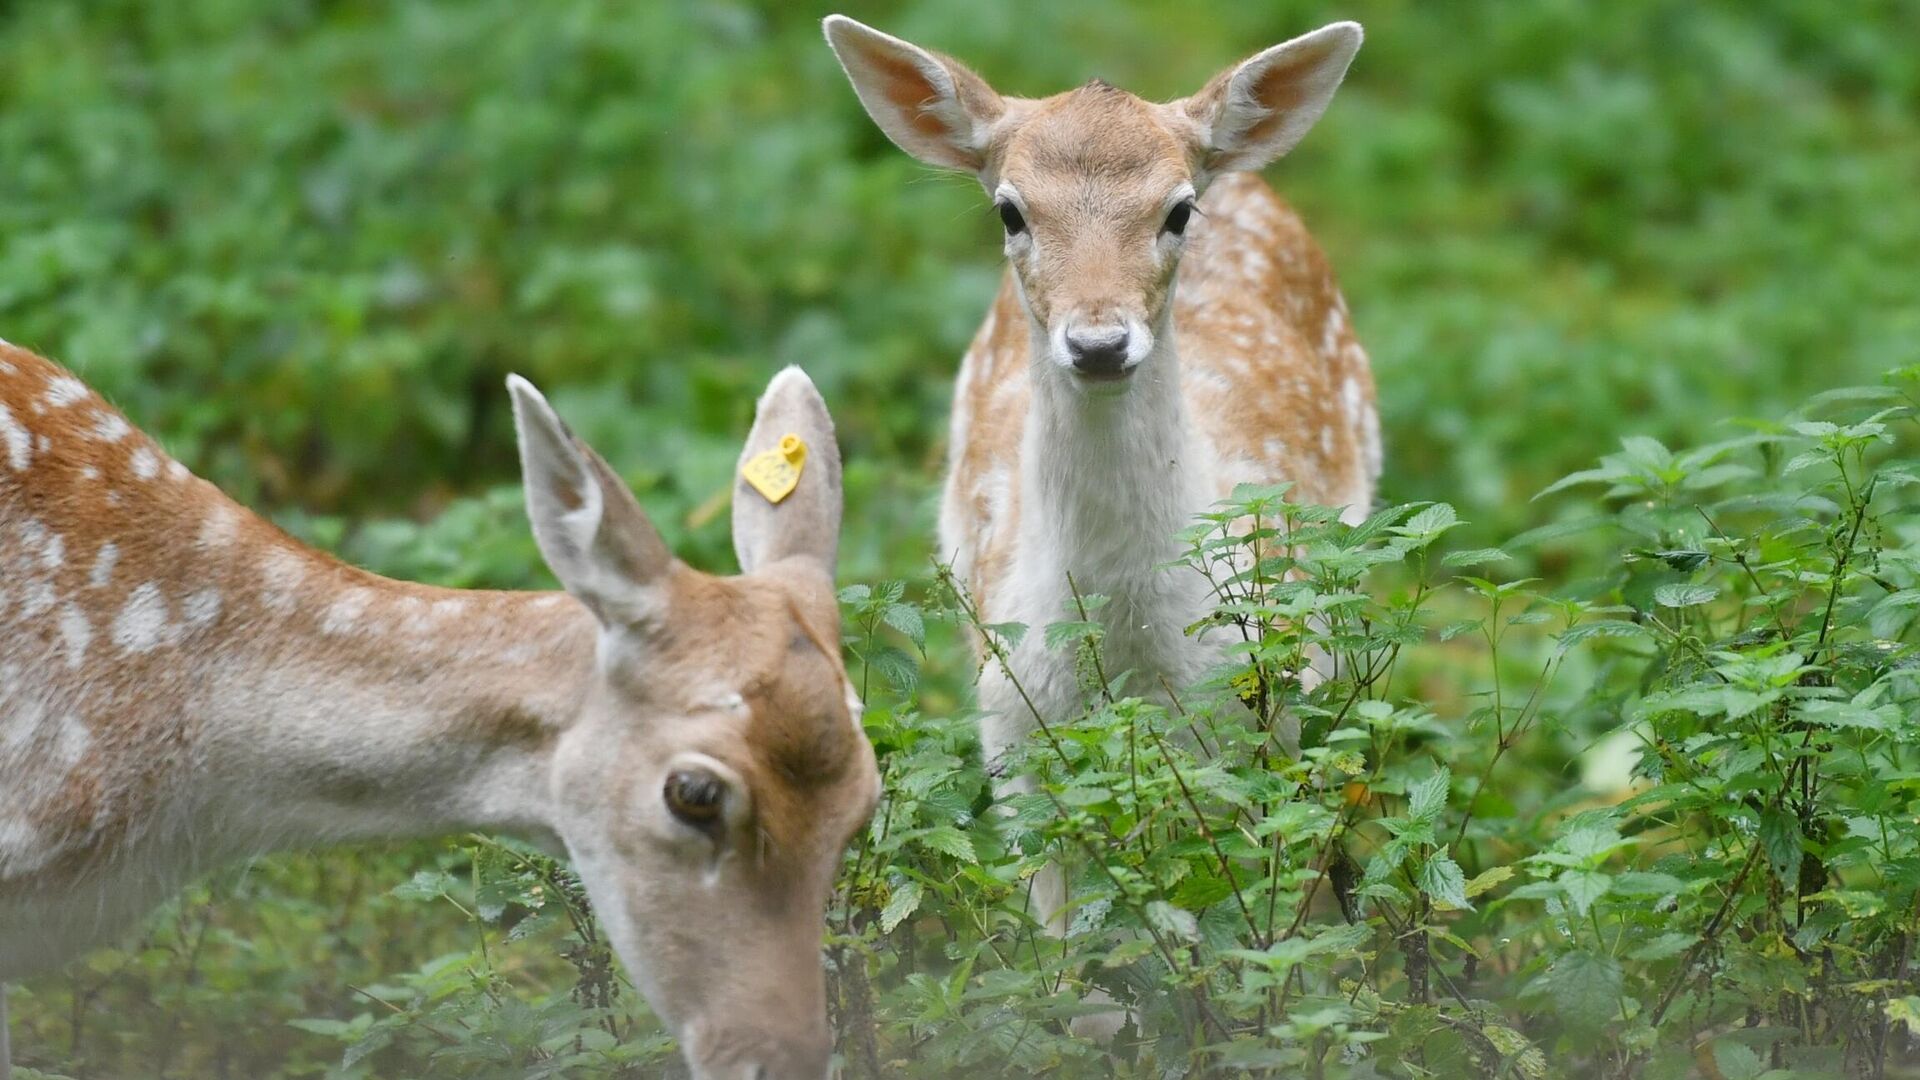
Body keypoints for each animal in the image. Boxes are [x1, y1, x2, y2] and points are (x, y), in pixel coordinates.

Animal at [825, 16, 1382, 926]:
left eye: (1179, 209)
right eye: (1010, 210)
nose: (1098, 342)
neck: (1130, 654)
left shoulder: (1265, 716)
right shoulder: (1013, 730)